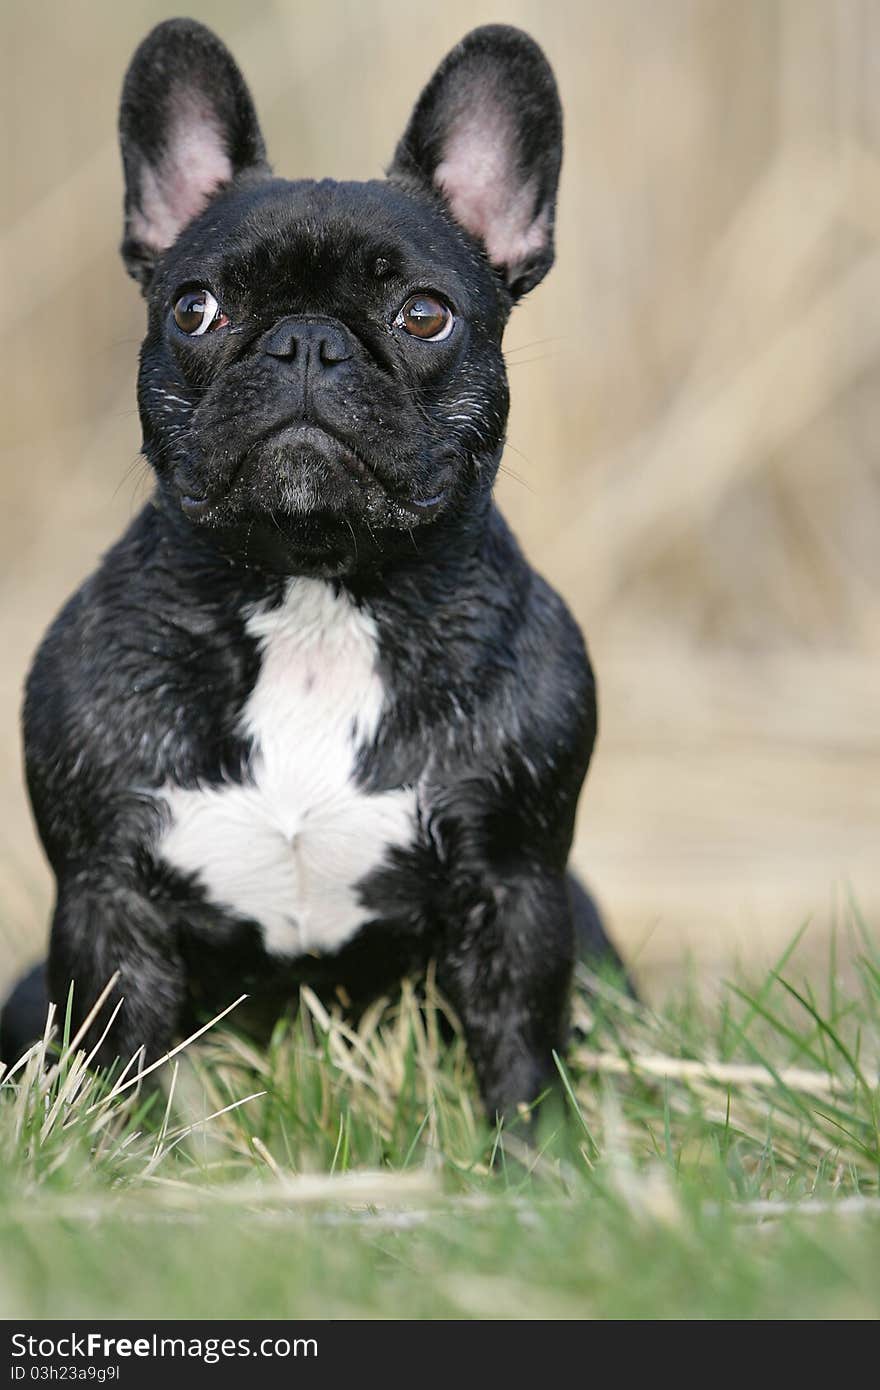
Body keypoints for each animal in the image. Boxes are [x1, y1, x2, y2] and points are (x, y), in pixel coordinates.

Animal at [0, 19, 617, 1117]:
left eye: (424, 314)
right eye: (194, 308)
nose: (305, 341)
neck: (315, 596)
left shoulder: (520, 890)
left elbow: (520, 1055)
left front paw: (539, 1153)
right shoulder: (105, 901)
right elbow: (115, 1065)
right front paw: (120, 1149)